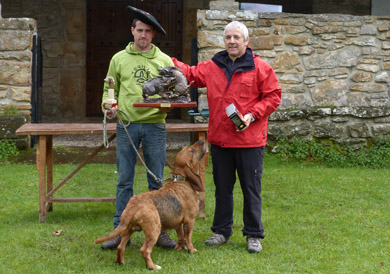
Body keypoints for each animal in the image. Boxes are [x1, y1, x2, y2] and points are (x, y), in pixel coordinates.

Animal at [93, 140, 207, 268]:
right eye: (191, 151)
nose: (201, 141)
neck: (181, 179)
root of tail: (133, 205)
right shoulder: (189, 221)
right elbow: (188, 237)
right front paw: (191, 250)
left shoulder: (178, 223)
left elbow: (181, 237)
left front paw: (179, 248)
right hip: (154, 230)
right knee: (145, 250)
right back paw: (153, 267)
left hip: (128, 230)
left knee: (120, 247)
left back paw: (120, 262)